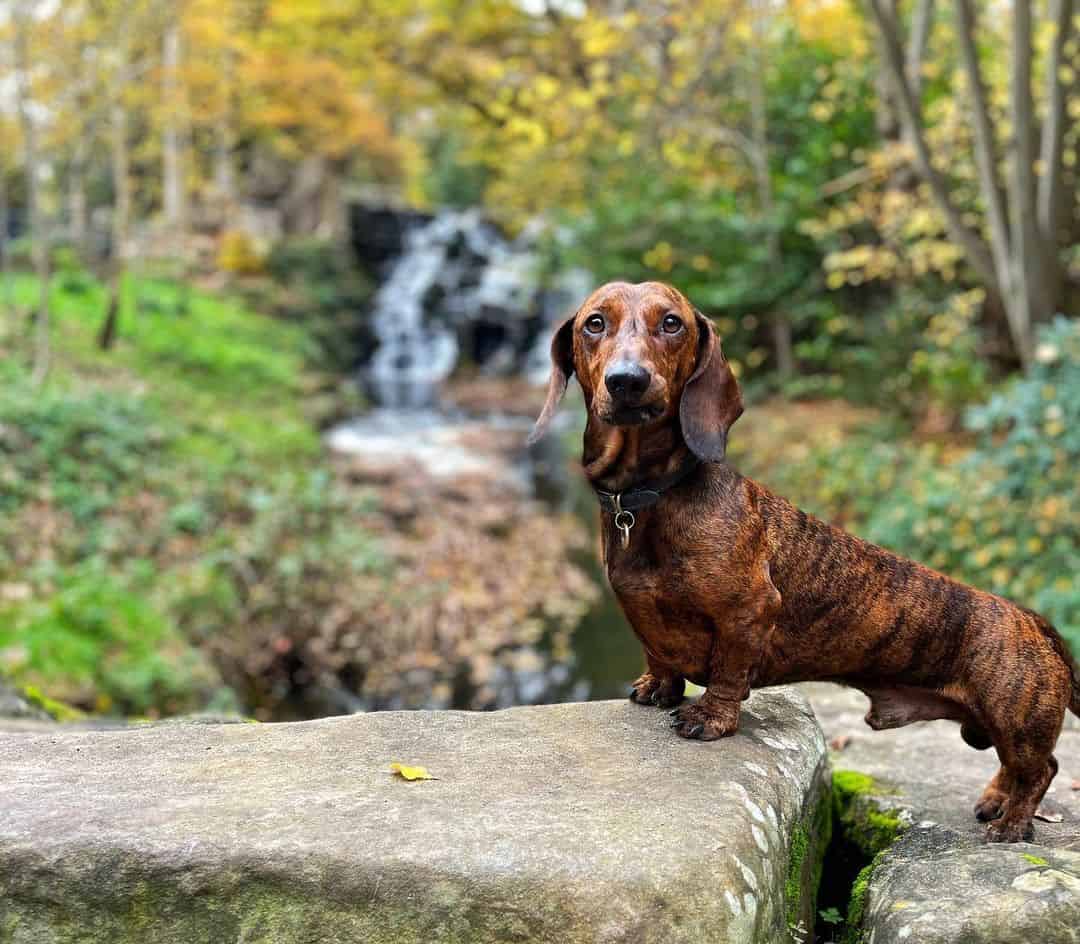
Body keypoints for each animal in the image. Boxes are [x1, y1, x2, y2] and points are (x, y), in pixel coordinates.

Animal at [529, 278, 1080, 838]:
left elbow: (728, 673)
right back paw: (996, 801)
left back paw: (1013, 823)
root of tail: (1030, 619)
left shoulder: (749, 611)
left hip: (1015, 718)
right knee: (1026, 767)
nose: (628, 381)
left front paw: (710, 718)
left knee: (1041, 768)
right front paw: (658, 687)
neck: (650, 496)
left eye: (672, 323)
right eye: (595, 323)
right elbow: (659, 655)